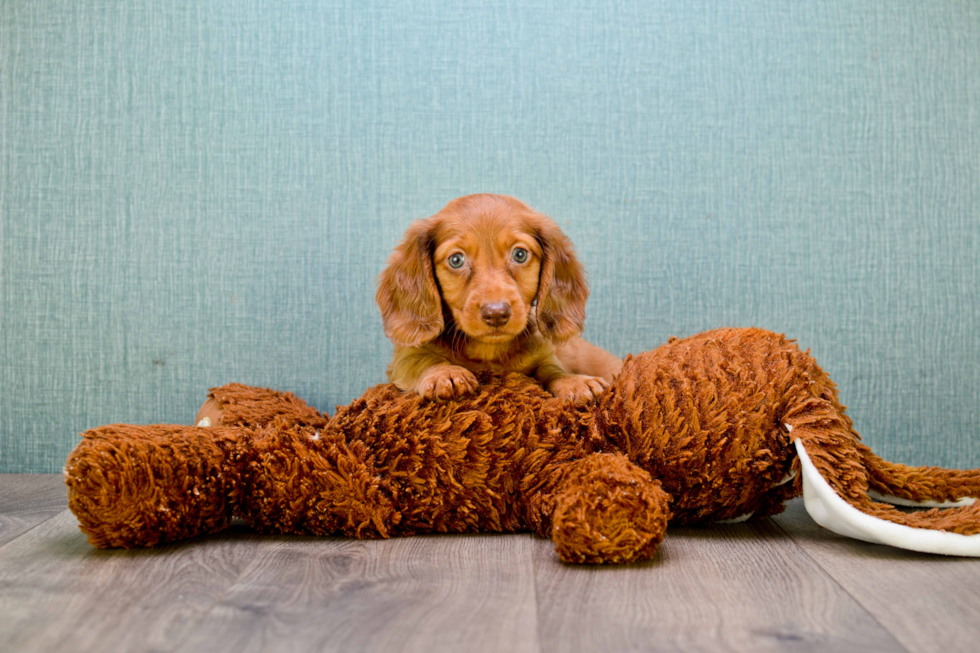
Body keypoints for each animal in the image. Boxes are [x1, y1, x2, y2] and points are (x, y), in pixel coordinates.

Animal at [376, 192, 620, 402]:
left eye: (520, 254)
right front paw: (444, 373)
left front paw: (572, 381)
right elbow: (424, 360)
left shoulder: (544, 356)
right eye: (456, 260)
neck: (487, 349)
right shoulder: (403, 358)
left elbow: (552, 369)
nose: (496, 314)